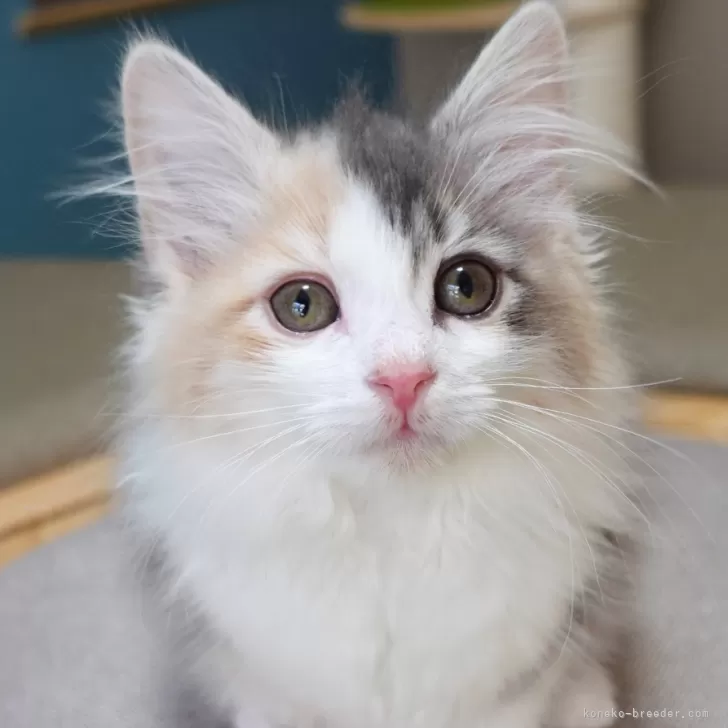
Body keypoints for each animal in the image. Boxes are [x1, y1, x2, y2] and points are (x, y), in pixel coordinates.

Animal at [113, 2, 639, 726]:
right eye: (301, 304)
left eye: (467, 286)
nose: (403, 378)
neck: (392, 530)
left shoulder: (518, 680)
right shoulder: (263, 684)